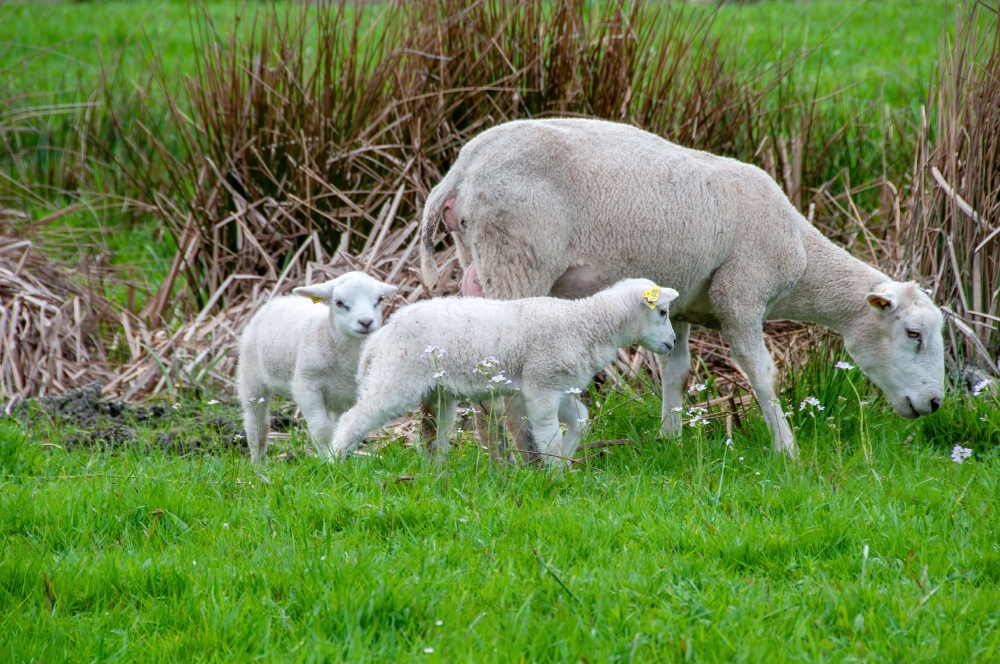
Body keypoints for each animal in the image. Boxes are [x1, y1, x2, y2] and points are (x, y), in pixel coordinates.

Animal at [237, 270, 398, 462]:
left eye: (379, 299)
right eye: (339, 302)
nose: (366, 322)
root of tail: (280, 299)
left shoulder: (351, 394)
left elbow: (344, 425)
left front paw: (338, 456)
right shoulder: (306, 386)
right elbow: (321, 427)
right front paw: (328, 458)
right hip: (250, 373)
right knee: (256, 420)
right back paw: (258, 461)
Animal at [328, 278, 680, 464]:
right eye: (663, 312)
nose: (673, 343)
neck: (586, 324)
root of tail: (384, 332)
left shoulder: (559, 383)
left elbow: (579, 418)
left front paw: (566, 458)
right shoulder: (541, 383)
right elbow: (548, 433)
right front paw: (554, 472)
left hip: (436, 389)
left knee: (432, 431)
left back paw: (436, 470)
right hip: (396, 376)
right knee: (354, 417)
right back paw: (333, 460)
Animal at [420, 118, 944, 456]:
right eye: (913, 334)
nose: (936, 404)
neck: (800, 253)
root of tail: (461, 170)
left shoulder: (683, 304)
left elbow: (677, 371)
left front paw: (670, 437)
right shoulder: (741, 294)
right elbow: (762, 373)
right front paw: (787, 451)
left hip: (478, 261)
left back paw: (494, 459)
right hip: (518, 256)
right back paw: (525, 460)